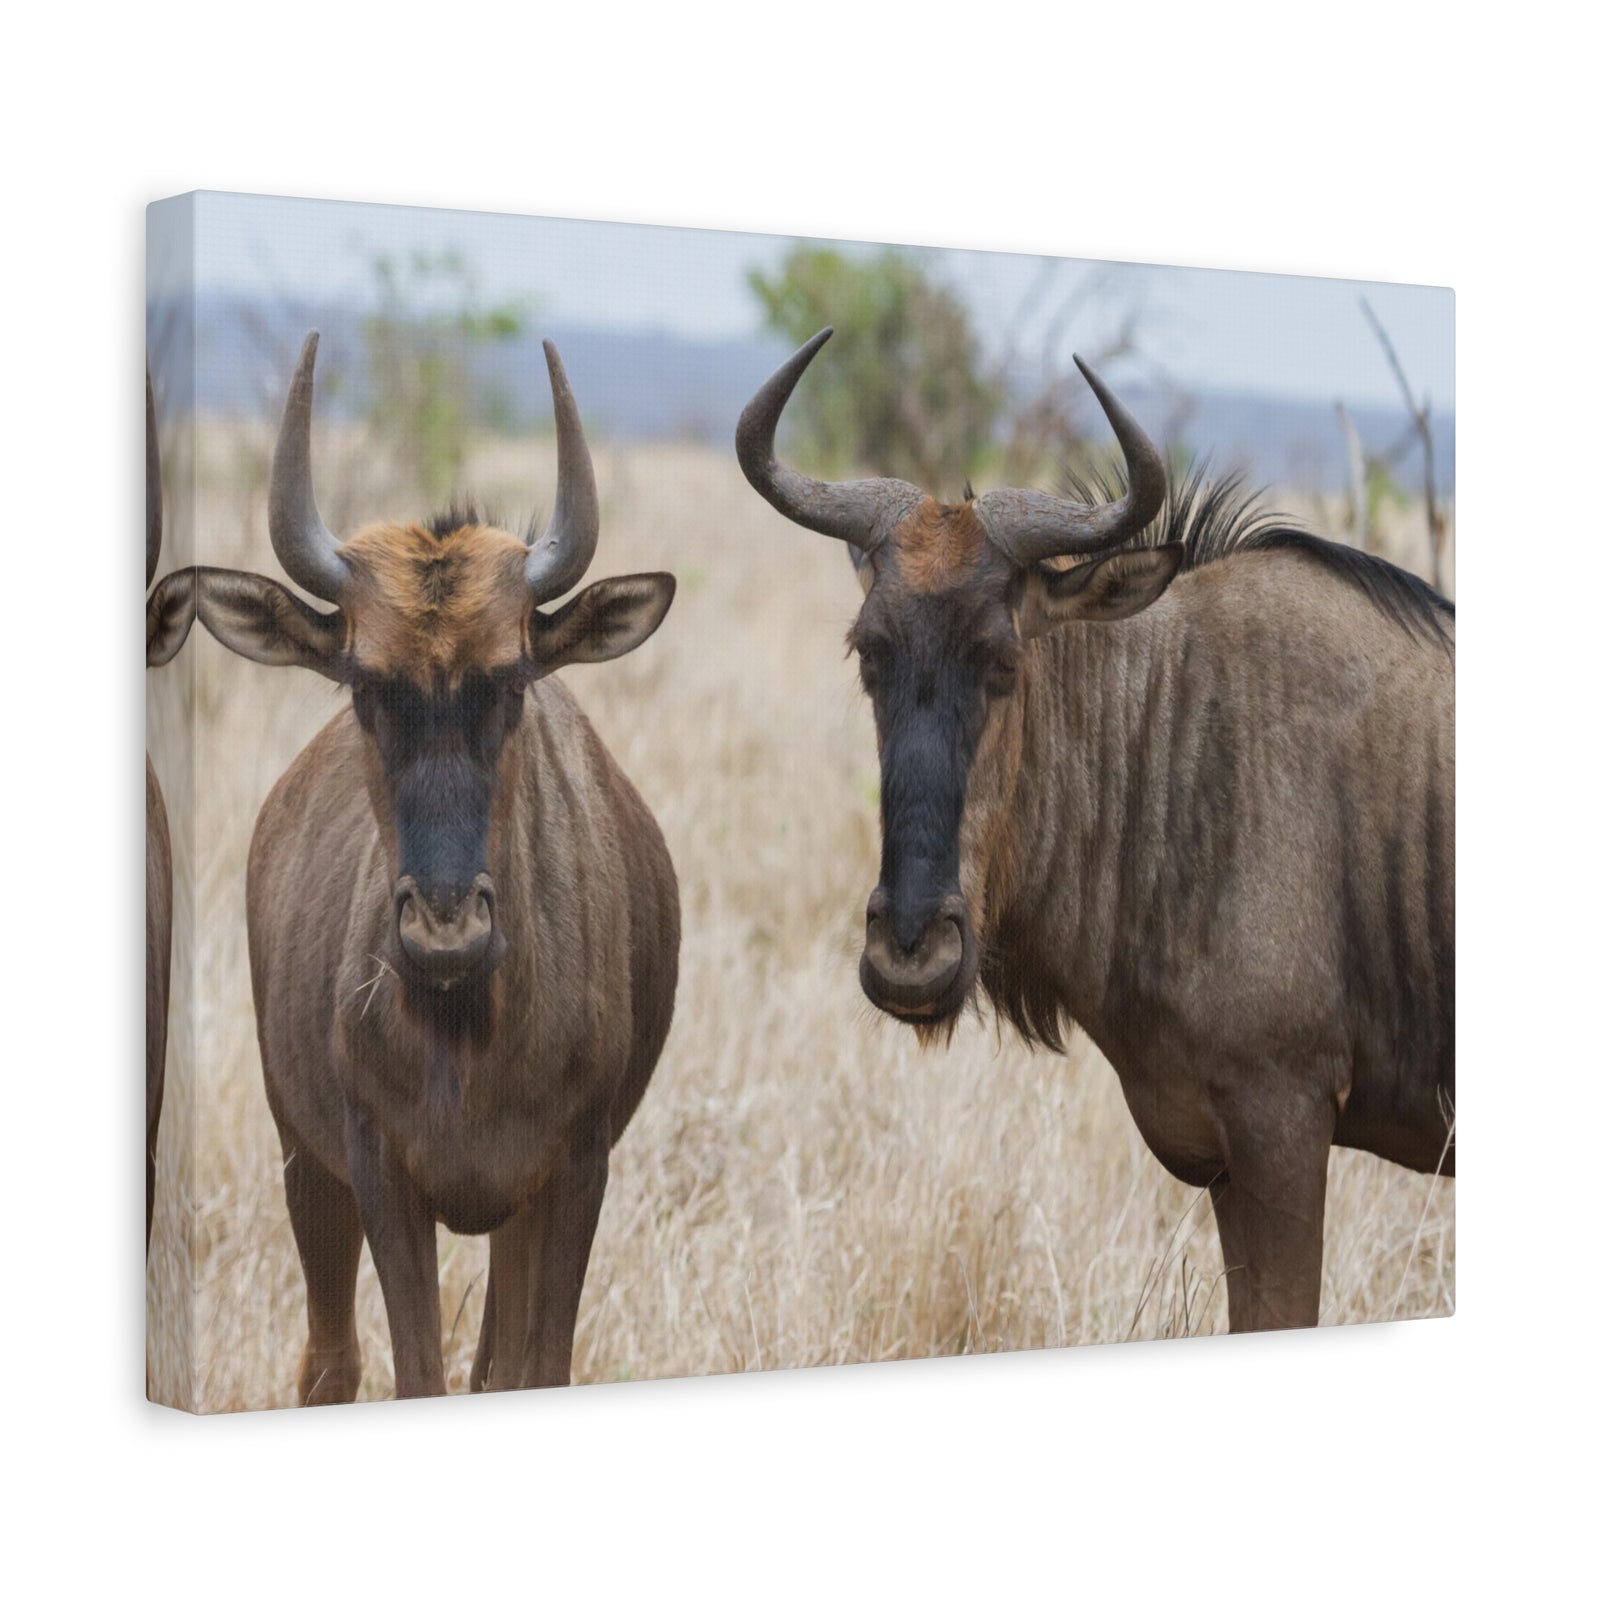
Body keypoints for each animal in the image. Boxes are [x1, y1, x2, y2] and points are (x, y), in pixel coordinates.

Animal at [196, 334, 679, 1399]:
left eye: (510, 681)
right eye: (366, 686)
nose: (445, 931)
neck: (468, 1028)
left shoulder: (572, 1174)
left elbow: (533, 1367)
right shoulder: (380, 1175)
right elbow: (413, 1369)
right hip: (305, 1166)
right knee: (330, 1363)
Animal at [738, 329, 1454, 1333]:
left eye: (1001, 659)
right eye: (869, 653)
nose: (909, 958)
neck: (1185, 746)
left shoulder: (1284, 1127)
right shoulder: (1230, 1161)